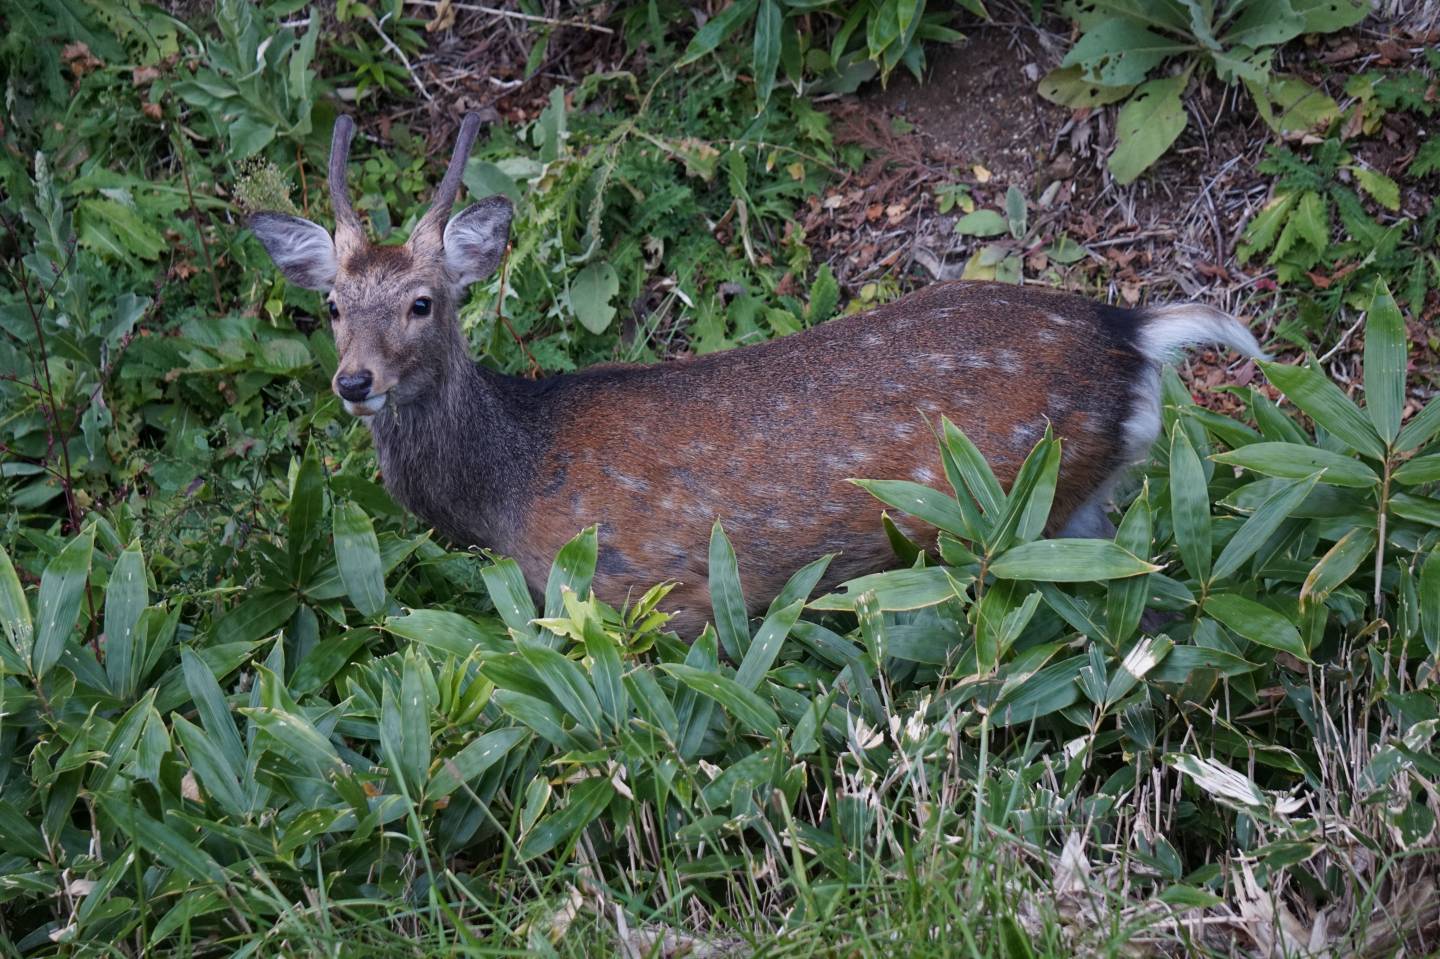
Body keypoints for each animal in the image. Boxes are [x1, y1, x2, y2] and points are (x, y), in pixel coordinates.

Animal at [253, 113, 1267, 633]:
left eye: (424, 302)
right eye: (332, 305)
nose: (355, 382)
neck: (507, 488)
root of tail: (1132, 328)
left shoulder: (654, 595)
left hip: (1013, 506)